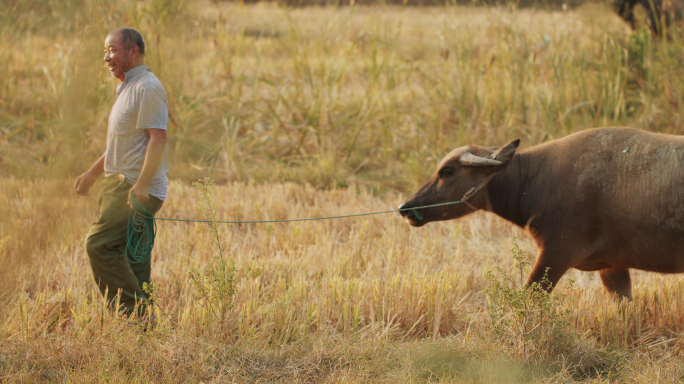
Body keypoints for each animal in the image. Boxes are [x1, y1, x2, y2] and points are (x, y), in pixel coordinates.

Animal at [398, 127, 684, 298]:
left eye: (447, 172)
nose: (405, 207)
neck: (533, 181)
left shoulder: (556, 252)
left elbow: (530, 296)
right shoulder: (612, 266)